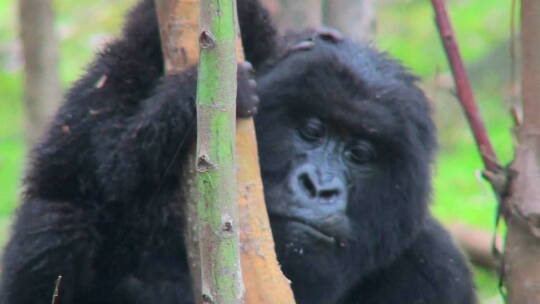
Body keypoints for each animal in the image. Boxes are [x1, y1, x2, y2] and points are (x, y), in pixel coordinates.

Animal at [0, 0, 474, 304]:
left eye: (360, 153)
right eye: (311, 131)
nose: (319, 187)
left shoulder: (438, 269)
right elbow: (90, 161)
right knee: (58, 223)